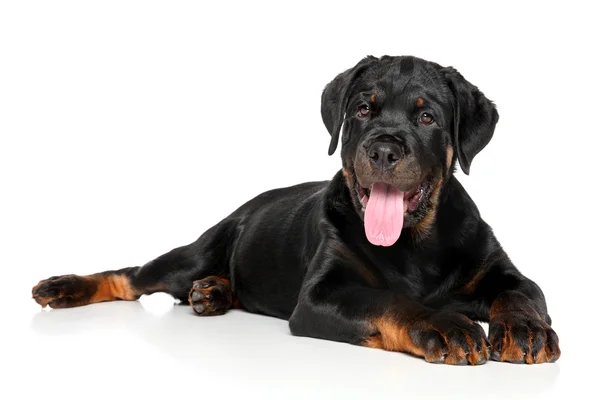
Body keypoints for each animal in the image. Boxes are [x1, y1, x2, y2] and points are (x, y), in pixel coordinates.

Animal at [31, 55, 556, 366]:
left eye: (427, 116)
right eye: (363, 110)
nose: (383, 149)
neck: (414, 244)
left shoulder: (499, 268)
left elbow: (523, 293)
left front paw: (526, 330)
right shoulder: (322, 295)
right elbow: (388, 300)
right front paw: (442, 325)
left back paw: (212, 293)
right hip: (195, 253)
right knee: (131, 276)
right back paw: (64, 287)